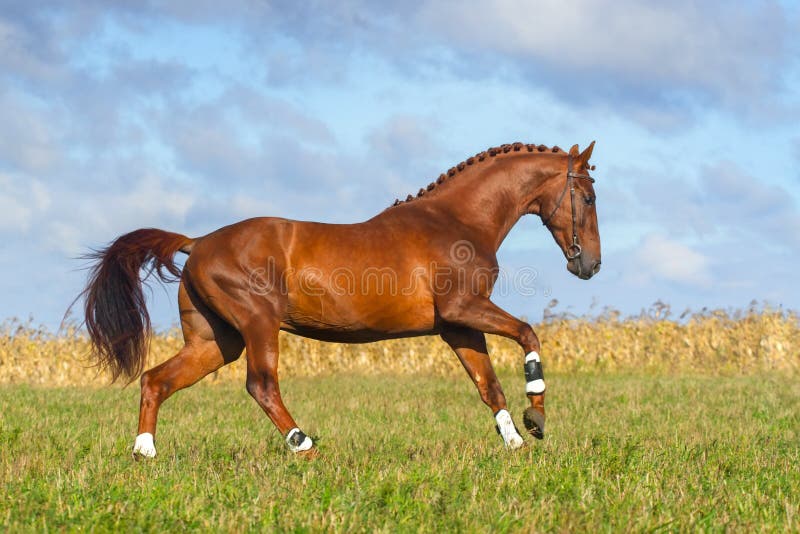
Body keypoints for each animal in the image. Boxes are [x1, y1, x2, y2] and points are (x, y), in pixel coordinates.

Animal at [78, 140, 600, 458]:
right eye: (590, 197)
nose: (590, 265)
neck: (458, 221)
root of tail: (199, 241)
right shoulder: (465, 310)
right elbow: (528, 333)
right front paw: (536, 416)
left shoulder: (458, 326)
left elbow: (488, 386)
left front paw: (516, 441)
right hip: (258, 325)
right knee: (261, 385)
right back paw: (304, 445)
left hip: (215, 341)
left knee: (156, 379)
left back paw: (145, 452)